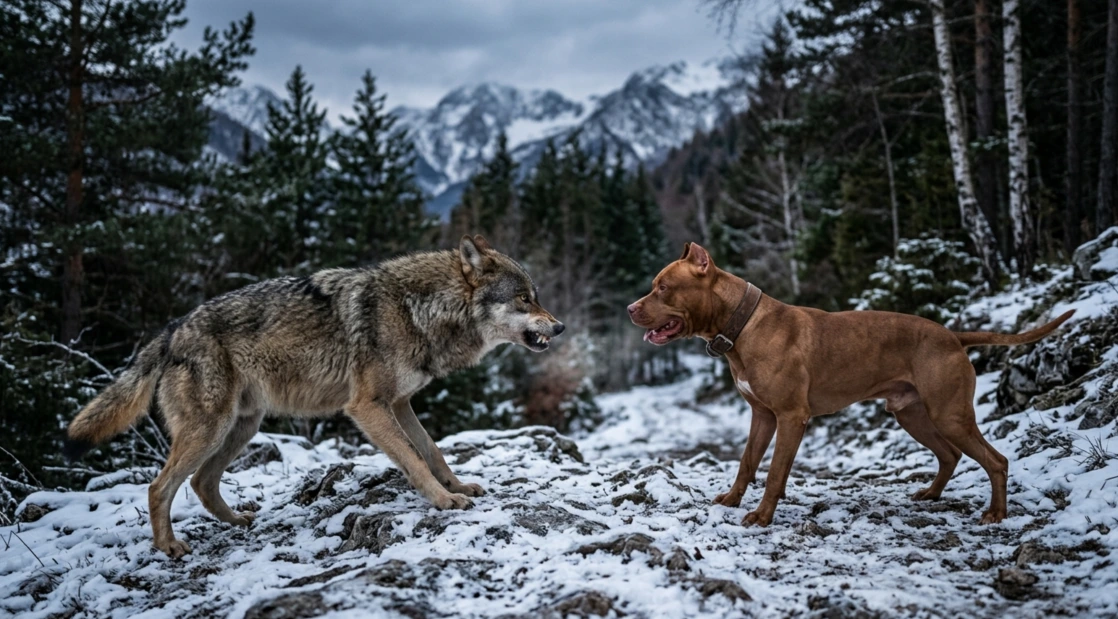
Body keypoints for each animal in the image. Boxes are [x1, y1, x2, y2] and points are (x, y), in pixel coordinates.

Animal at [65, 235, 564, 558]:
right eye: (524, 298)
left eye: (536, 296)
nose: (559, 327)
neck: (419, 310)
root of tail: (171, 331)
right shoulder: (368, 407)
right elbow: (413, 459)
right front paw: (444, 502)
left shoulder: (400, 404)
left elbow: (432, 451)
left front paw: (457, 486)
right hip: (210, 429)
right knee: (159, 487)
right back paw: (170, 546)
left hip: (240, 427)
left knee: (202, 483)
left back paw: (238, 522)